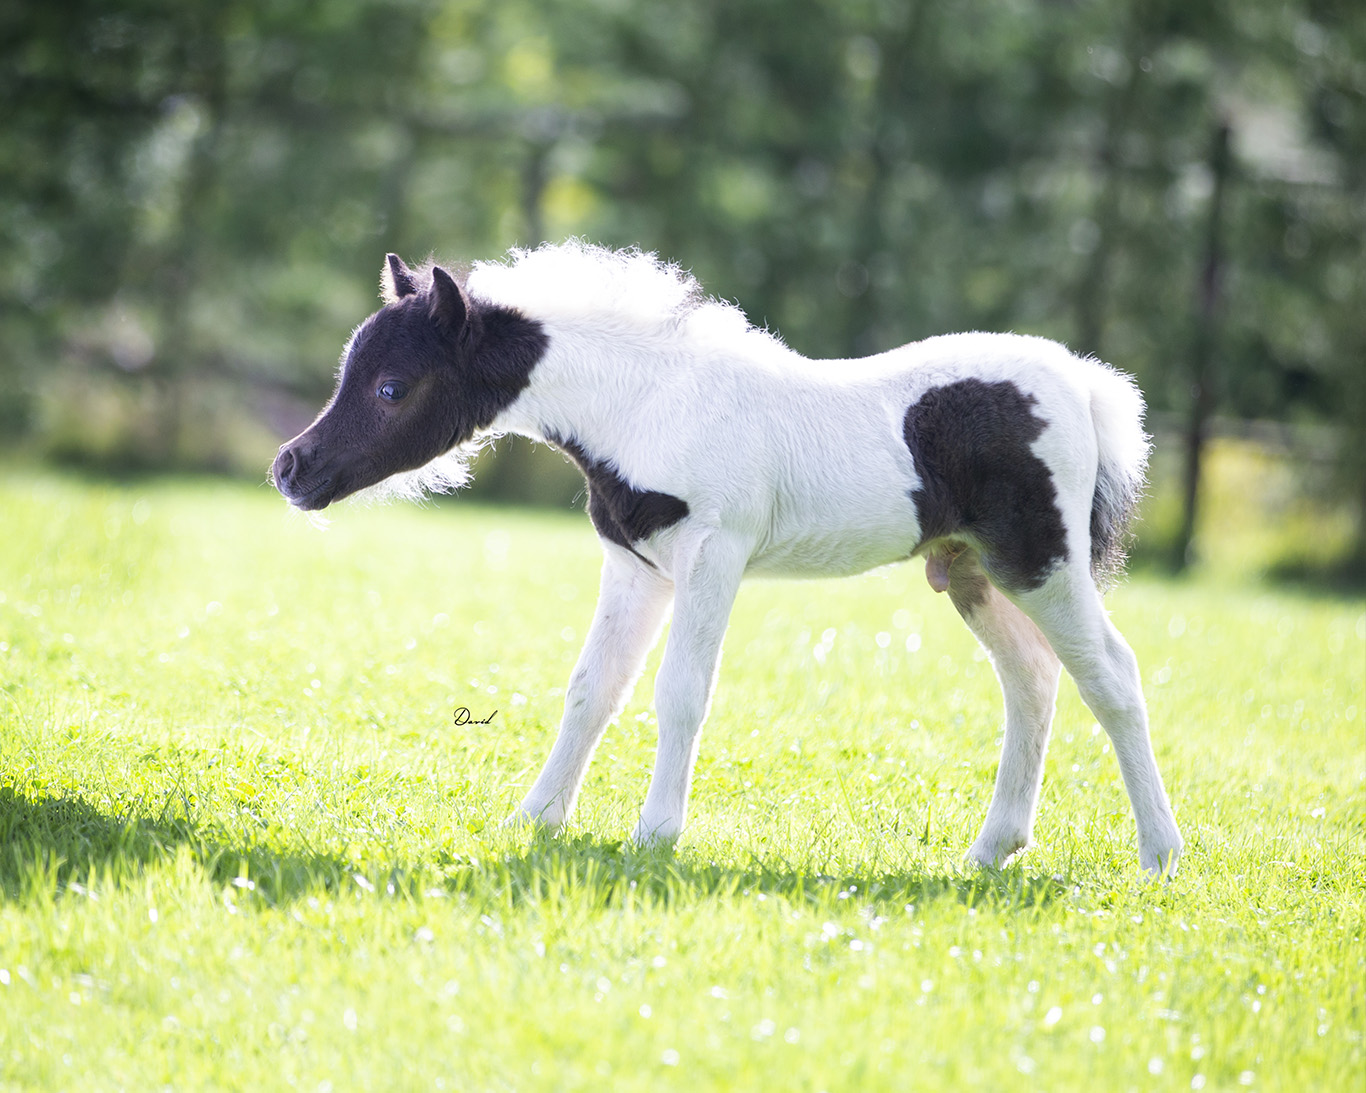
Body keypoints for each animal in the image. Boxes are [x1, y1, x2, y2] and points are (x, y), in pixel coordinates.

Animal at [272, 242, 1183, 878]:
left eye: (392, 387)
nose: (291, 468)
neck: (650, 402)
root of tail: (1082, 384)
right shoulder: (634, 565)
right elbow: (592, 689)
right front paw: (535, 818)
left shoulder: (714, 553)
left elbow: (681, 692)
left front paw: (654, 833)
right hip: (971, 571)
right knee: (1032, 680)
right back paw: (993, 848)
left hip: (1044, 564)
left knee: (1113, 675)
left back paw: (1160, 855)